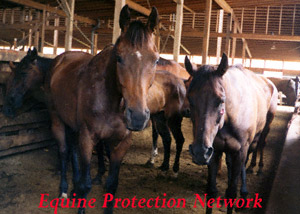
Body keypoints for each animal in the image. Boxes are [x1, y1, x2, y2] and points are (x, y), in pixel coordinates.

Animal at [45, 5, 158, 214]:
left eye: (155, 60)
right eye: (119, 57)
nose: (138, 118)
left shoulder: (121, 143)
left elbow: (112, 185)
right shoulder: (87, 138)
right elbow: (86, 184)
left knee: (72, 151)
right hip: (57, 119)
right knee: (64, 152)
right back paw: (64, 190)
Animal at [184, 53, 278, 214]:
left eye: (221, 100)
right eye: (190, 98)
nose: (200, 152)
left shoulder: (241, 150)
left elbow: (232, 191)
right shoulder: (215, 151)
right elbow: (212, 191)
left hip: (262, 131)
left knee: (259, 146)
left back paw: (255, 171)